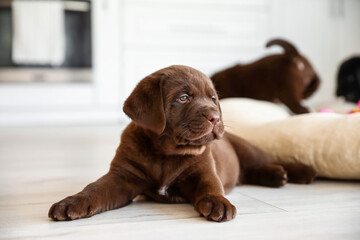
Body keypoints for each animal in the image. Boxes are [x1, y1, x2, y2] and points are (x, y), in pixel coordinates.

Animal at [48, 65, 316, 221]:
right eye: (184, 98)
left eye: (213, 98)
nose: (216, 117)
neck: (167, 153)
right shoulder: (123, 177)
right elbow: (95, 188)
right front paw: (71, 202)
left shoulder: (204, 170)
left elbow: (211, 186)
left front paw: (219, 203)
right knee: (250, 172)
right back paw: (276, 176)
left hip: (248, 149)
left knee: (269, 159)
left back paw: (301, 172)